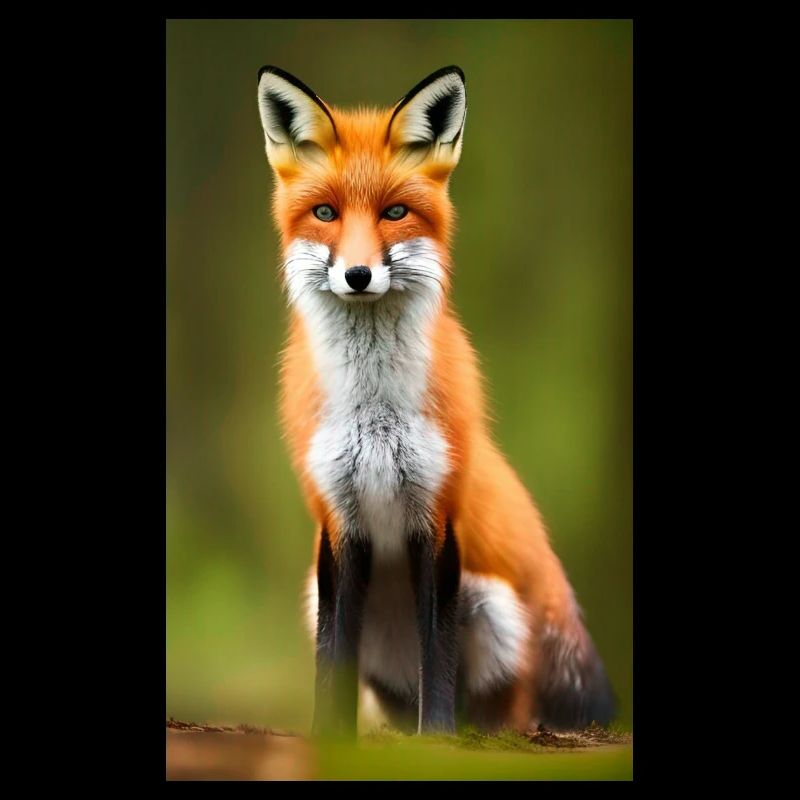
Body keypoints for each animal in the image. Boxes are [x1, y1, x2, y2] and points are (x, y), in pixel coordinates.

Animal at [256, 64, 615, 736]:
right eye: (325, 213)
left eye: (395, 212)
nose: (358, 275)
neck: (374, 412)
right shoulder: (337, 520)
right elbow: (331, 656)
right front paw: (332, 737)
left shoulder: (437, 513)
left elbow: (438, 650)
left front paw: (439, 737)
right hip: (324, 594)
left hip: (494, 608)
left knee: (506, 709)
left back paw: (481, 730)